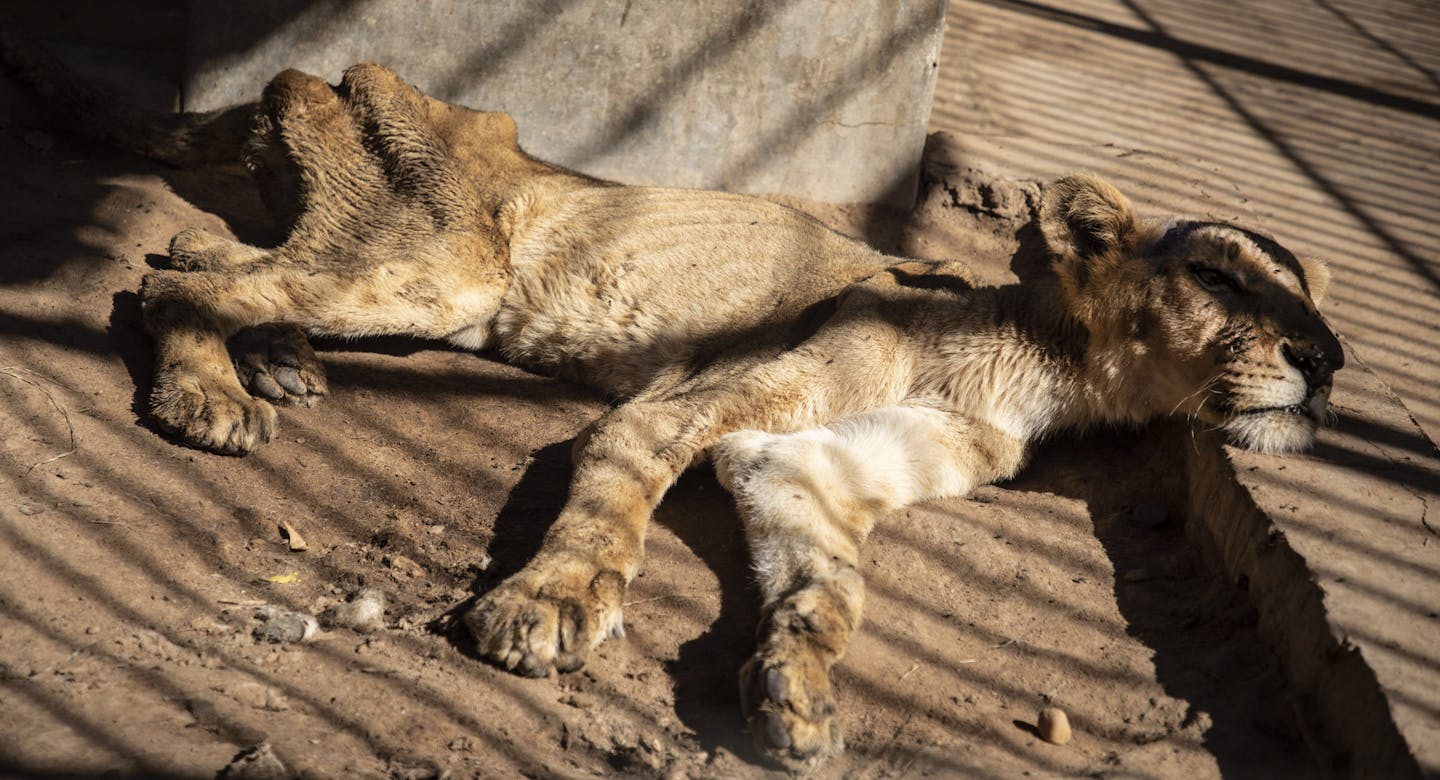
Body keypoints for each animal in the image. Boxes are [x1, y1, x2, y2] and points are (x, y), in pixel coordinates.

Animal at [123, 65, 1336, 771]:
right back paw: (212, 397)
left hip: (412, 284)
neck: (1040, 372)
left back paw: (275, 364)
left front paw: (798, 699)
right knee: (176, 285)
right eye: (1219, 278)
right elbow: (611, 513)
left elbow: (831, 588)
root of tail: (329, 67)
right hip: (435, 272)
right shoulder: (683, 409)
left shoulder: (794, 461)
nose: (1327, 361)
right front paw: (548, 607)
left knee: (193, 254)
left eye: (1314, 293)